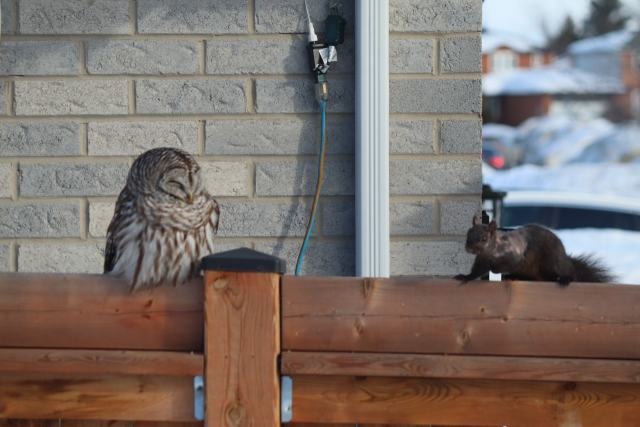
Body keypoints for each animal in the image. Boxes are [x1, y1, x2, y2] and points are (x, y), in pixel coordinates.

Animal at [454, 215, 616, 286]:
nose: (469, 248)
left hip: (553, 258)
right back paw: (513, 277)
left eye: (484, 239)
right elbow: (476, 271)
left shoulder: (514, 255)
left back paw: (566, 278)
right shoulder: (481, 261)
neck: (490, 253)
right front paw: (465, 276)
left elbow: (505, 264)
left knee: (567, 271)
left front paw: (495, 269)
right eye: (468, 233)